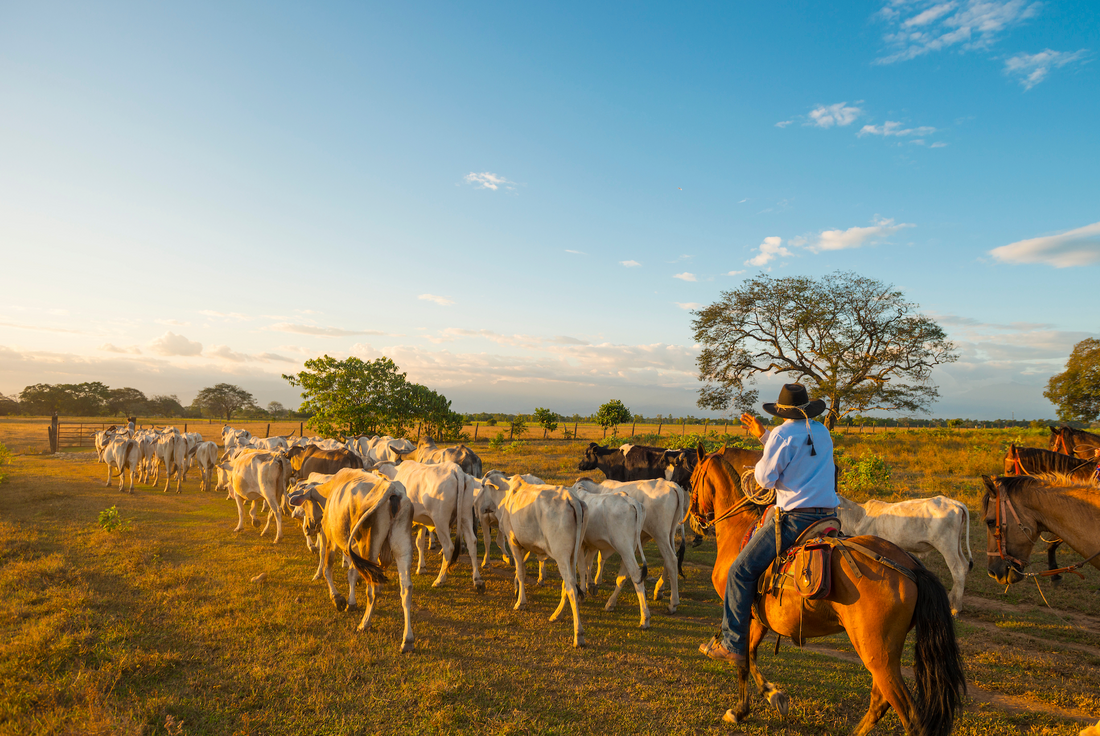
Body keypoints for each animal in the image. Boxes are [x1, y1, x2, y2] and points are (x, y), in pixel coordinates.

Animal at [286, 468, 413, 646]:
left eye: (304, 503)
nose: (308, 527)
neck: (331, 490)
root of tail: (391, 489)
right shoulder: (352, 546)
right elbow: (352, 573)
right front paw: (352, 601)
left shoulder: (329, 537)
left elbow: (327, 568)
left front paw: (337, 598)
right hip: (402, 546)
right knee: (406, 587)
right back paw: (407, 639)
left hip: (369, 545)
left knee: (372, 588)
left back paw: (365, 623)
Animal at [376, 459, 484, 589]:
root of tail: (455, 469)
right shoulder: (421, 520)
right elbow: (419, 542)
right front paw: (421, 567)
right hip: (465, 516)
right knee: (472, 542)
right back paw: (477, 579)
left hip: (440, 521)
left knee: (448, 547)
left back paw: (440, 580)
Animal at [572, 479, 682, 611]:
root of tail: (671, 485)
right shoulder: (594, 543)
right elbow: (593, 560)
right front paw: (593, 584)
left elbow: (591, 562)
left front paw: (591, 585)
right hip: (668, 534)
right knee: (671, 559)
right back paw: (659, 591)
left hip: (658, 535)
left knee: (669, 560)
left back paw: (672, 603)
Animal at [831, 492, 972, 616]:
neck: (858, 517)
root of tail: (954, 503)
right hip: (956, 546)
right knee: (965, 566)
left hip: (947, 546)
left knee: (958, 571)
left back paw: (955, 608)